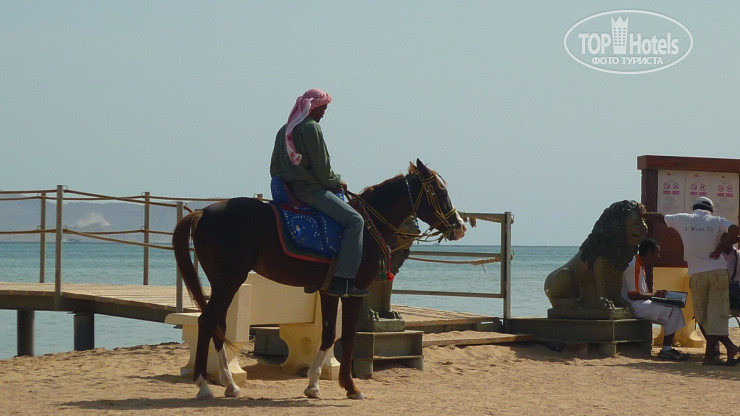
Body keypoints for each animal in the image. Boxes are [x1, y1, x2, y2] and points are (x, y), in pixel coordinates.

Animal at [172, 159, 466, 400]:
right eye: (440, 191)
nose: (460, 226)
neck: (367, 226)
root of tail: (202, 212)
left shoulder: (330, 291)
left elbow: (327, 334)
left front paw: (313, 385)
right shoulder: (356, 291)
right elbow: (347, 337)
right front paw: (351, 387)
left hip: (224, 284)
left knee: (217, 325)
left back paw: (230, 385)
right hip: (228, 281)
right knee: (207, 322)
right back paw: (204, 386)